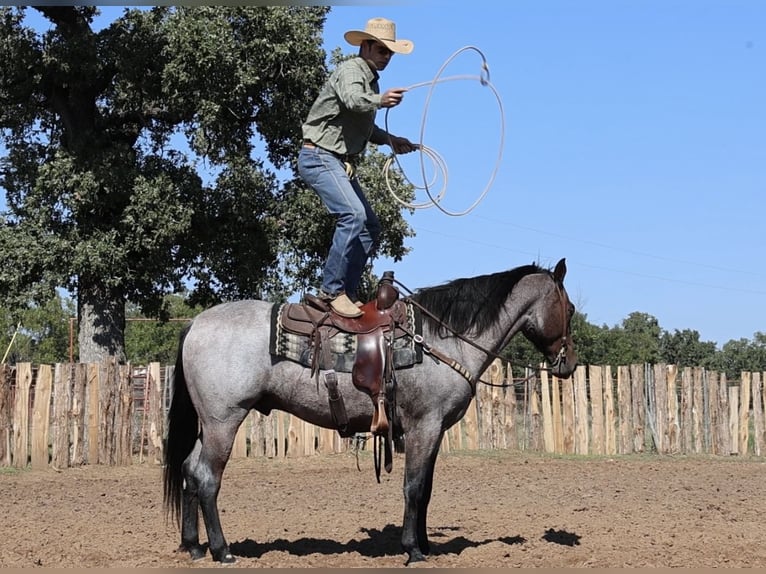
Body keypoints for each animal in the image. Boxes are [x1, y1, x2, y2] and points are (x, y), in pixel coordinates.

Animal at [162, 257, 577, 565]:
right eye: (570, 308)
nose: (569, 363)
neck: (443, 340)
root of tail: (195, 324)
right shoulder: (423, 426)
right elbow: (413, 487)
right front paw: (412, 550)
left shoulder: (434, 431)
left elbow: (426, 490)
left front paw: (425, 544)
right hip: (224, 421)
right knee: (207, 478)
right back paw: (222, 551)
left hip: (209, 425)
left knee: (189, 471)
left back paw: (194, 546)